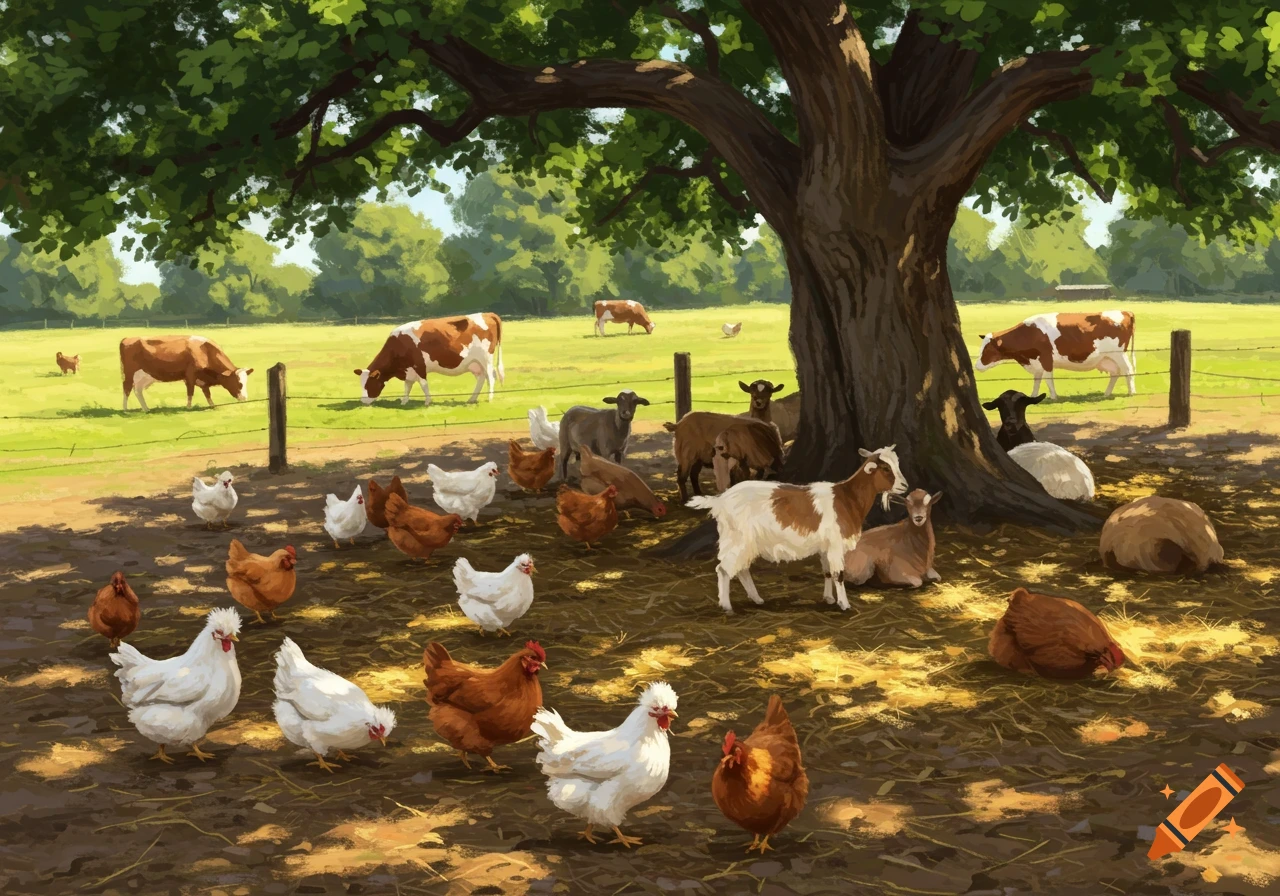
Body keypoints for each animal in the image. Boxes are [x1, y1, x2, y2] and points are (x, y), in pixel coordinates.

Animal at [119, 336, 253, 412]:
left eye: (246, 382)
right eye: (239, 383)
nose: (244, 398)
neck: (204, 351)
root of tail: (127, 339)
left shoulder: (203, 381)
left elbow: (207, 394)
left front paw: (212, 405)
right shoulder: (190, 376)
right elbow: (190, 392)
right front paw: (188, 407)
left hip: (145, 376)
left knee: (137, 390)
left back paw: (146, 409)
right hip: (129, 373)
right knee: (127, 388)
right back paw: (125, 409)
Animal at [355, 313, 504, 406]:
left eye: (369, 384)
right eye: (361, 384)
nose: (363, 401)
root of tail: (486, 314)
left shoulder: (419, 366)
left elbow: (423, 384)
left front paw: (428, 401)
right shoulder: (408, 370)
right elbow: (407, 386)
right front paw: (404, 401)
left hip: (486, 358)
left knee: (491, 376)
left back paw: (489, 398)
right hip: (474, 363)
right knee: (481, 378)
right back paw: (471, 399)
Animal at [687, 446, 906, 614]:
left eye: (896, 463)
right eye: (885, 468)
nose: (905, 485)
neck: (847, 498)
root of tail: (720, 500)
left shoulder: (825, 547)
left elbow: (827, 572)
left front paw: (828, 598)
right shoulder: (836, 545)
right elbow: (839, 574)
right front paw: (844, 604)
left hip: (746, 542)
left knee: (741, 569)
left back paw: (756, 599)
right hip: (737, 538)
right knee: (723, 569)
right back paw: (726, 606)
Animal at [975, 311, 1136, 399]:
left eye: (987, 349)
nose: (976, 366)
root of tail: (1124, 312)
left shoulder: (1046, 358)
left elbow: (1048, 378)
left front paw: (1053, 396)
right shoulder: (1036, 362)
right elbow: (1037, 379)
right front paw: (1033, 396)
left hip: (1118, 354)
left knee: (1128, 370)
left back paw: (1131, 392)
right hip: (1107, 358)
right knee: (1115, 373)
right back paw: (1107, 393)